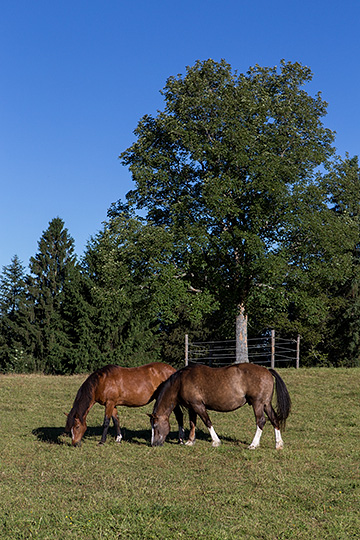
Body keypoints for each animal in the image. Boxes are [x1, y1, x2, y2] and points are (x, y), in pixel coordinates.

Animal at [150, 362, 292, 452]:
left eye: (155, 426)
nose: (153, 444)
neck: (181, 382)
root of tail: (267, 370)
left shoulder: (198, 406)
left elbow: (207, 422)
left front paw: (215, 441)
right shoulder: (192, 407)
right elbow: (192, 423)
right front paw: (190, 441)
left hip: (258, 404)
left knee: (261, 421)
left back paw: (253, 444)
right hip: (266, 404)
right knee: (274, 419)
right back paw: (278, 444)